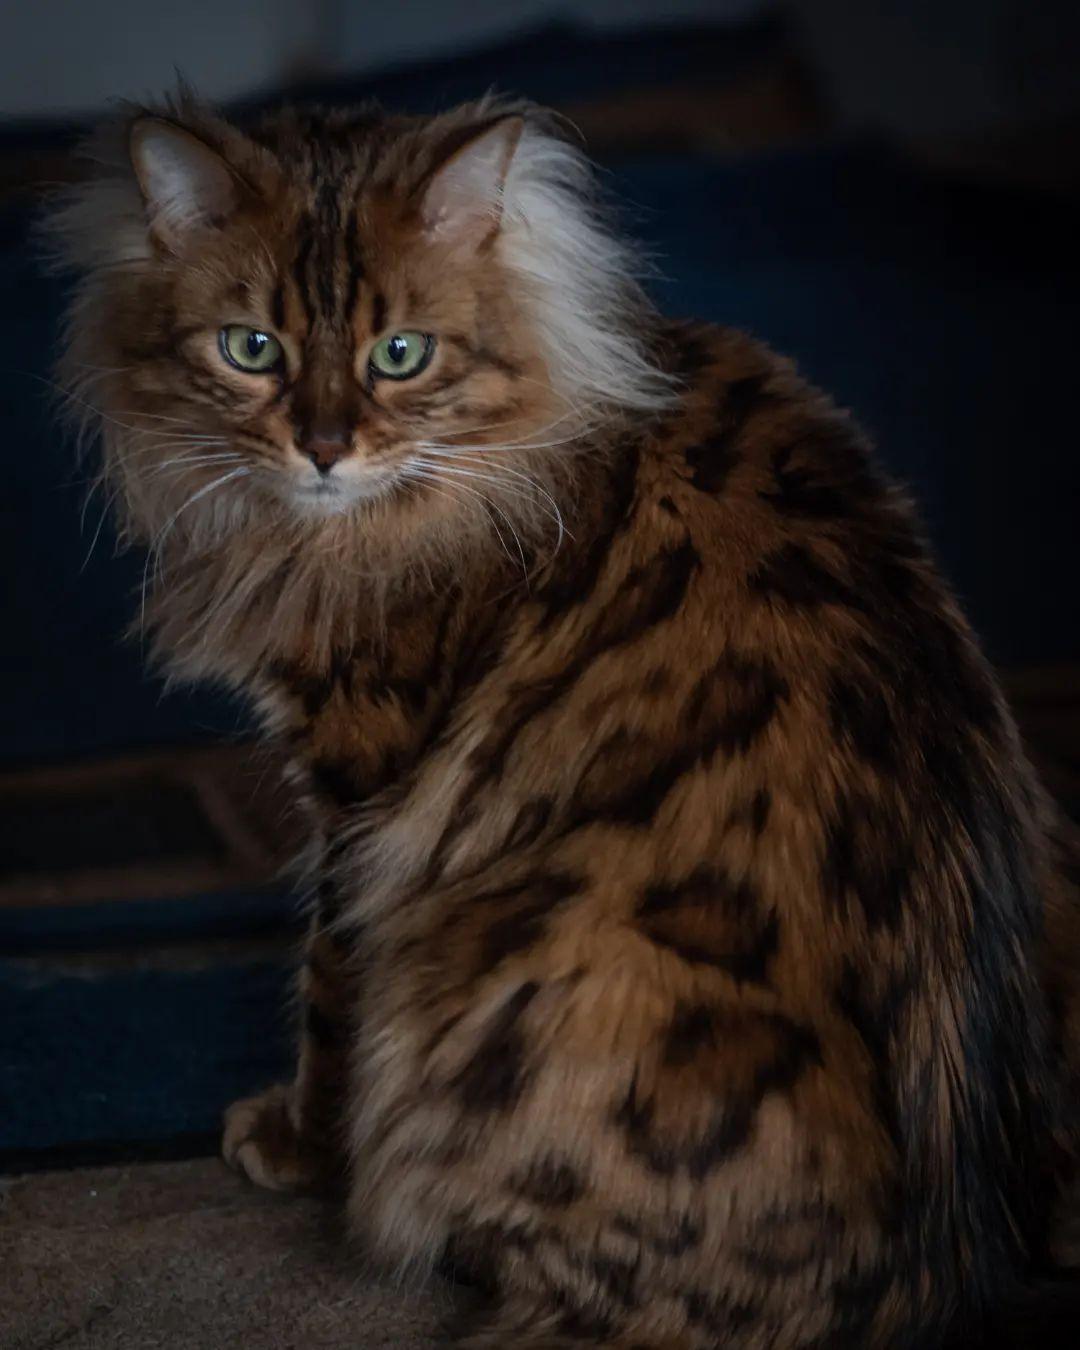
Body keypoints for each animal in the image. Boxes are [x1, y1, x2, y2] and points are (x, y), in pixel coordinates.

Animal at [44, 89, 1080, 1344]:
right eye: (253, 350)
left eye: (400, 356)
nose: (325, 450)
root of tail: (937, 1273)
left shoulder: (362, 787)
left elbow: (328, 991)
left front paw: (293, 1144)